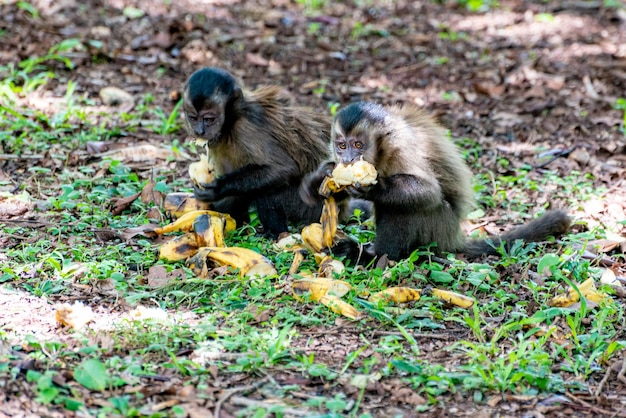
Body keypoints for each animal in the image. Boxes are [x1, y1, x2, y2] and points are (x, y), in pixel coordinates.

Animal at [183, 68, 332, 238]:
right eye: (193, 118)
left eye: (208, 119)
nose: (199, 131)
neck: (231, 123)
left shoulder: (246, 129)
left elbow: (283, 169)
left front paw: (217, 189)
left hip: (306, 203)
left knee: (268, 187)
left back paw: (275, 234)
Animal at [300, 101, 568, 264]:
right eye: (341, 146)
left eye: (358, 145)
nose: (347, 159)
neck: (382, 155)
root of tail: (454, 235)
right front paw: (321, 179)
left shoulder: (401, 147)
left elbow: (428, 193)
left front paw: (372, 187)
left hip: (439, 227)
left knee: (402, 207)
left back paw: (374, 256)